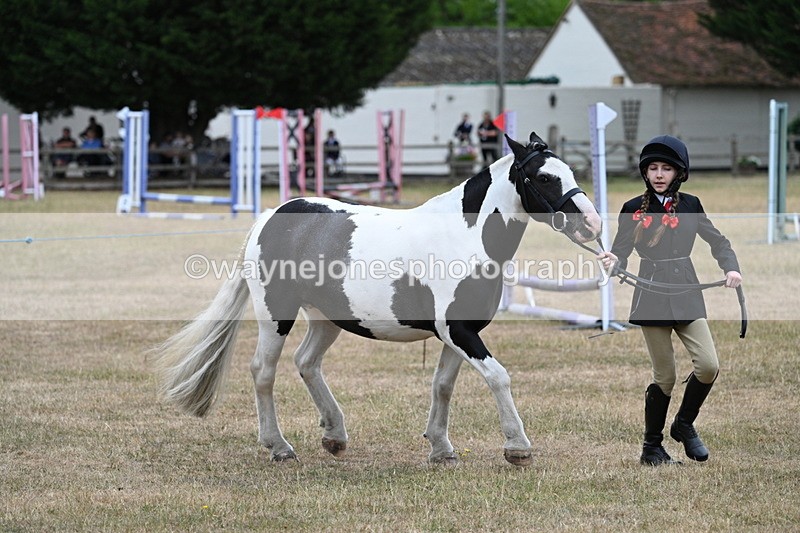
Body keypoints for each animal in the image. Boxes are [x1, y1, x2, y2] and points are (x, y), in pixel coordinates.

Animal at [152, 131, 602, 466]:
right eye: (543, 178)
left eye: (569, 171)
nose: (593, 224)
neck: (465, 235)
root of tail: (271, 215)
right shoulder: (458, 331)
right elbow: (498, 376)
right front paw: (517, 447)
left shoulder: (458, 333)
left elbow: (442, 385)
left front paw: (441, 448)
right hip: (275, 315)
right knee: (264, 371)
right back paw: (279, 447)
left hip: (327, 319)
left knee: (306, 362)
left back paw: (334, 435)